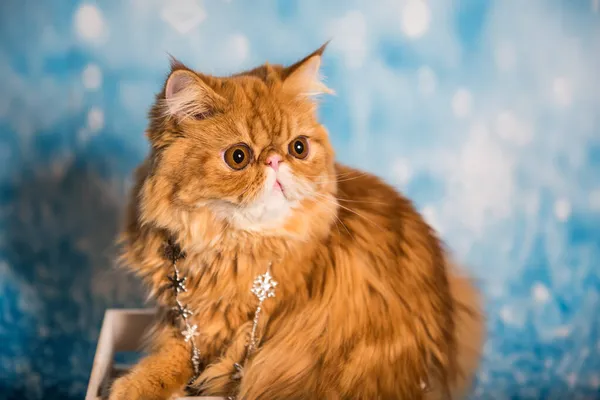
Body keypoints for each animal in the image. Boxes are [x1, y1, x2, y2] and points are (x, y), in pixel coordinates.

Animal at [108, 44, 482, 400]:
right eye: (238, 156)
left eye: (298, 148)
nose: (275, 161)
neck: (229, 245)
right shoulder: (184, 317)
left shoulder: (223, 327)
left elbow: (178, 359)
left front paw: (131, 387)